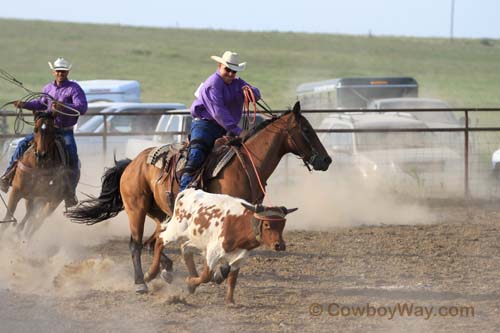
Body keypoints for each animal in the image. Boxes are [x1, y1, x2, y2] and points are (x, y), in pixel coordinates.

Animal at [67, 100, 332, 292]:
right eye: (306, 129)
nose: (326, 160)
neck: (246, 163)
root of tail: (133, 163)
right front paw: (213, 274)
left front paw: (216, 274)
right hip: (136, 209)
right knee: (136, 243)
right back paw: (141, 282)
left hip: (161, 212)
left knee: (154, 240)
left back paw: (165, 270)